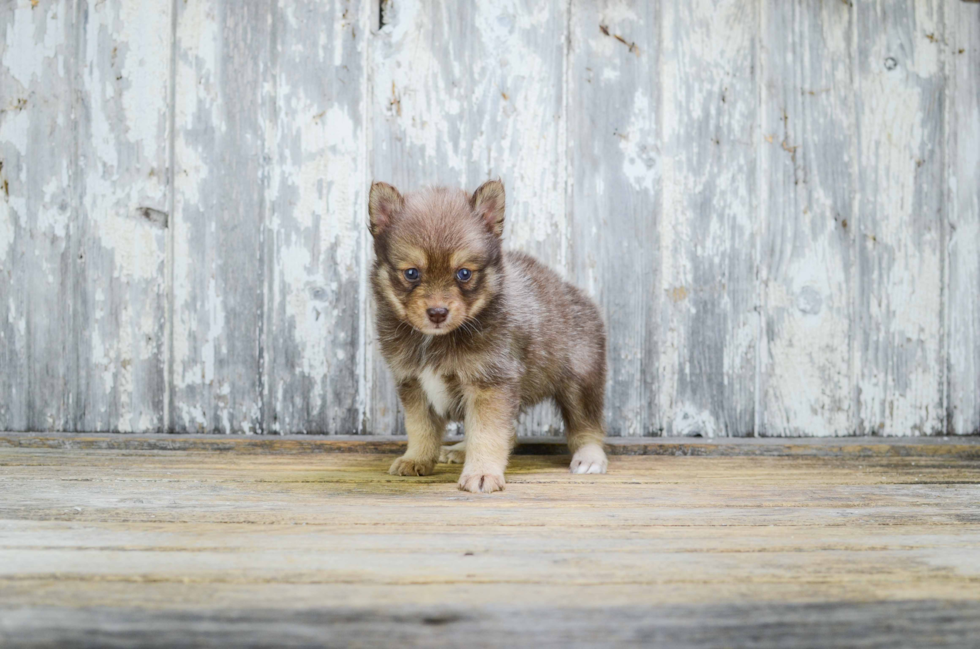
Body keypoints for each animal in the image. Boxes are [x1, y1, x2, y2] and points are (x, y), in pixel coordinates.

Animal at [372, 177, 608, 492]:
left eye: (463, 274)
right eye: (411, 273)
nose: (437, 313)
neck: (435, 339)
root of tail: (575, 292)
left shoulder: (490, 384)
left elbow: (487, 433)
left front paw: (482, 473)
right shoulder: (413, 384)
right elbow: (421, 428)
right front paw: (416, 459)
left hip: (581, 381)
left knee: (587, 424)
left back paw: (589, 456)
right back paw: (460, 450)